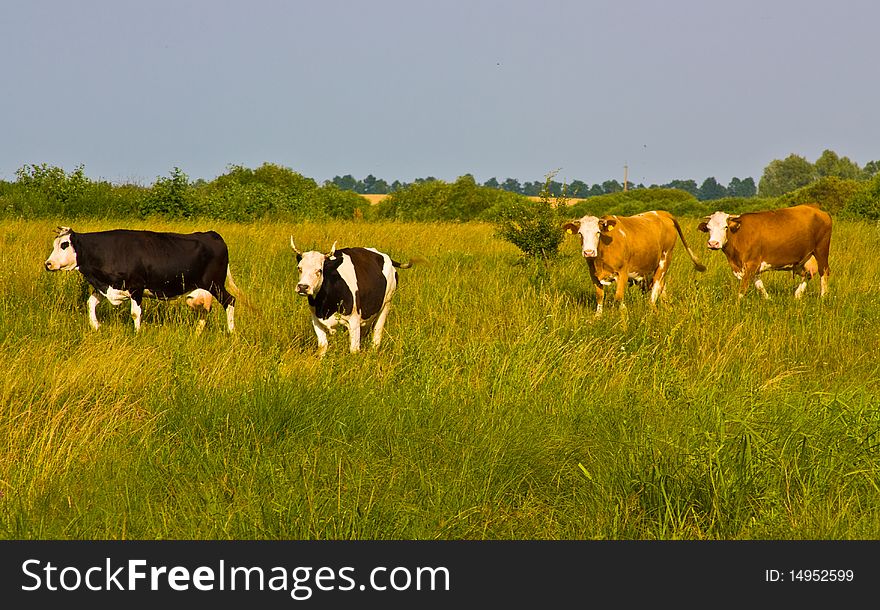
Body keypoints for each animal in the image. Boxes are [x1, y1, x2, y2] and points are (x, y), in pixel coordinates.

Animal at [44, 224, 242, 332]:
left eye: (64, 244)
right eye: (55, 244)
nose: (48, 264)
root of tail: (212, 234)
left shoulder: (136, 287)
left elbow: (135, 313)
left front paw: (137, 334)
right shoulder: (108, 286)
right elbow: (90, 303)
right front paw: (96, 326)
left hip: (215, 284)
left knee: (230, 301)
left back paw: (231, 332)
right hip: (198, 291)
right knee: (205, 310)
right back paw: (196, 333)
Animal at [564, 209, 708, 314]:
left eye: (598, 232)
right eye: (580, 234)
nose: (588, 252)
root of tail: (662, 213)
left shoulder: (622, 272)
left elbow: (619, 297)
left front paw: (623, 315)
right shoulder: (594, 275)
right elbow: (600, 297)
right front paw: (597, 317)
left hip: (665, 259)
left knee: (656, 287)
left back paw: (651, 310)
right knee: (662, 286)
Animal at [696, 203, 832, 298]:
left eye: (725, 227)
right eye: (708, 228)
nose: (713, 243)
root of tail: (817, 210)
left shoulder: (752, 263)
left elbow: (743, 289)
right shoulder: (751, 267)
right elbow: (759, 285)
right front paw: (768, 299)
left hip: (821, 250)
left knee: (823, 272)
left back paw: (823, 297)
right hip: (806, 258)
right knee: (808, 273)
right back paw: (798, 294)